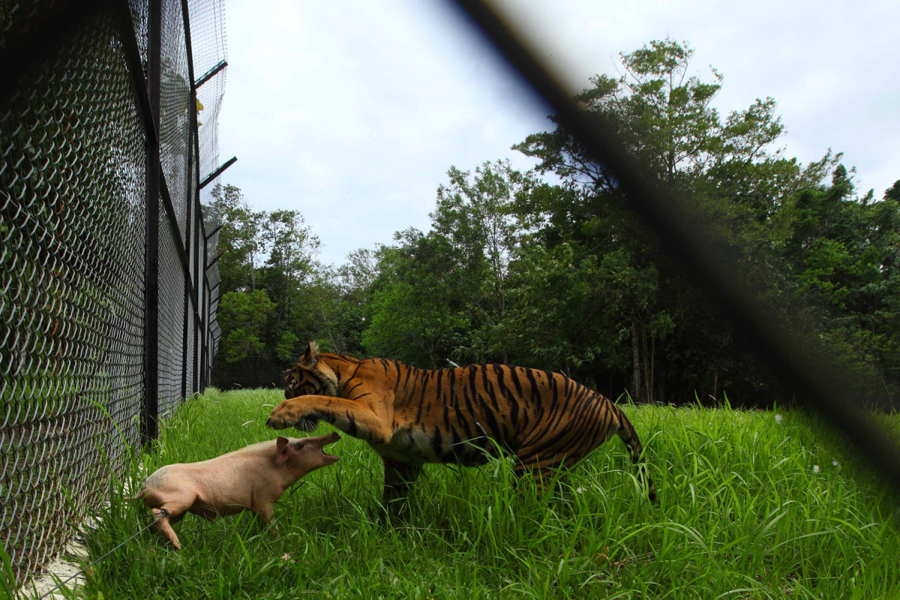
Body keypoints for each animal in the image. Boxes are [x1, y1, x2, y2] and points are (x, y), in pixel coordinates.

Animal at [137, 432, 339, 549]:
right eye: (299, 445)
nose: (335, 433)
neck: (274, 469)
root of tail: (145, 487)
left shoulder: (255, 504)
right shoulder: (262, 497)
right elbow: (270, 520)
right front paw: (279, 540)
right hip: (181, 497)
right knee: (157, 513)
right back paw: (178, 545)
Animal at [266, 341, 657, 514]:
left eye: (290, 382)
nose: (282, 392)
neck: (344, 371)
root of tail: (609, 402)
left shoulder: (376, 417)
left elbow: (327, 400)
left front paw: (281, 413)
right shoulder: (400, 462)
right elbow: (393, 502)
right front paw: (388, 531)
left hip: (534, 465)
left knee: (533, 509)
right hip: (555, 466)